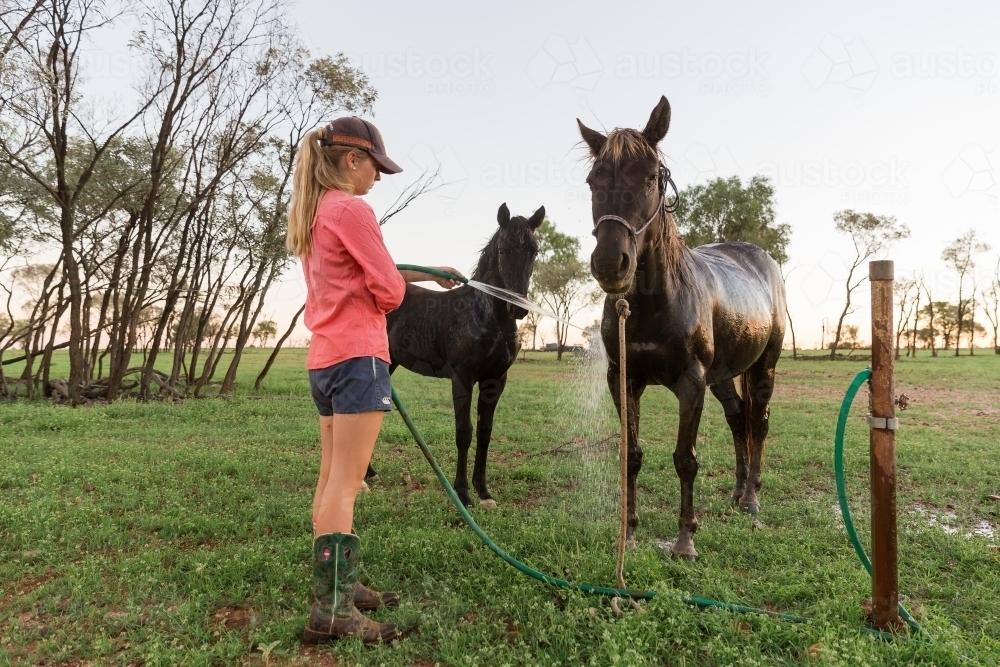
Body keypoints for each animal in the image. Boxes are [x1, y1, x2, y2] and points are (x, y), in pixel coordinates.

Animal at [382, 202, 544, 506]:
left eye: (534, 250)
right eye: (502, 250)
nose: (518, 307)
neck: (484, 314)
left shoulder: (495, 380)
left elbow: (484, 432)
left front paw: (483, 491)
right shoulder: (462, 377)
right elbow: (464, 432)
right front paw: (462, 493)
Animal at [580, 96, 788, 560]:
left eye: (650, 177)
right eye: (592, 180)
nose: (610, 263)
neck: (656, 303)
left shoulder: (691, 382)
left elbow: (685, 459)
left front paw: (685, 539)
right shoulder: (623, 379)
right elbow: (632, 455)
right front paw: (629, 532)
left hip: (763, 366)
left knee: (759, 421)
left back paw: (751, 496)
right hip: (724, 375)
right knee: (738, 419)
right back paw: (737, 491)